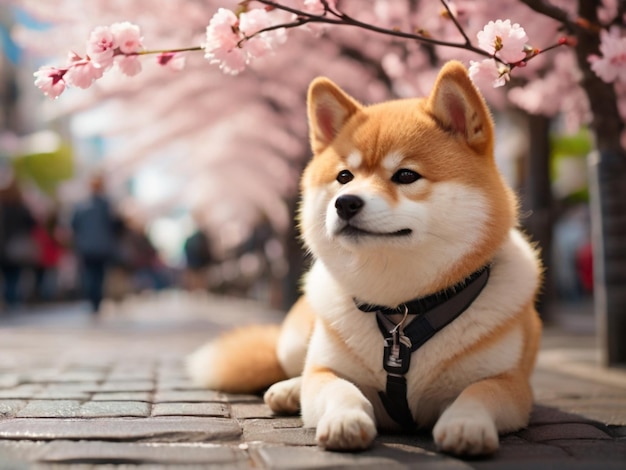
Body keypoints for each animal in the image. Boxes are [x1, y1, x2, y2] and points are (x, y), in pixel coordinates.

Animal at [186, 60, 540, 458]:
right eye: (344, 176)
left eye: (406, 175)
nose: (346, 203)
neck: (401, 309)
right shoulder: (329, 371)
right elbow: (339, 387)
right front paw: (345, 420)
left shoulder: (510, 383)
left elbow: (479, 392)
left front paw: (467, 425)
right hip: (294, 340)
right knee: (299, 367)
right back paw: (289, 390)